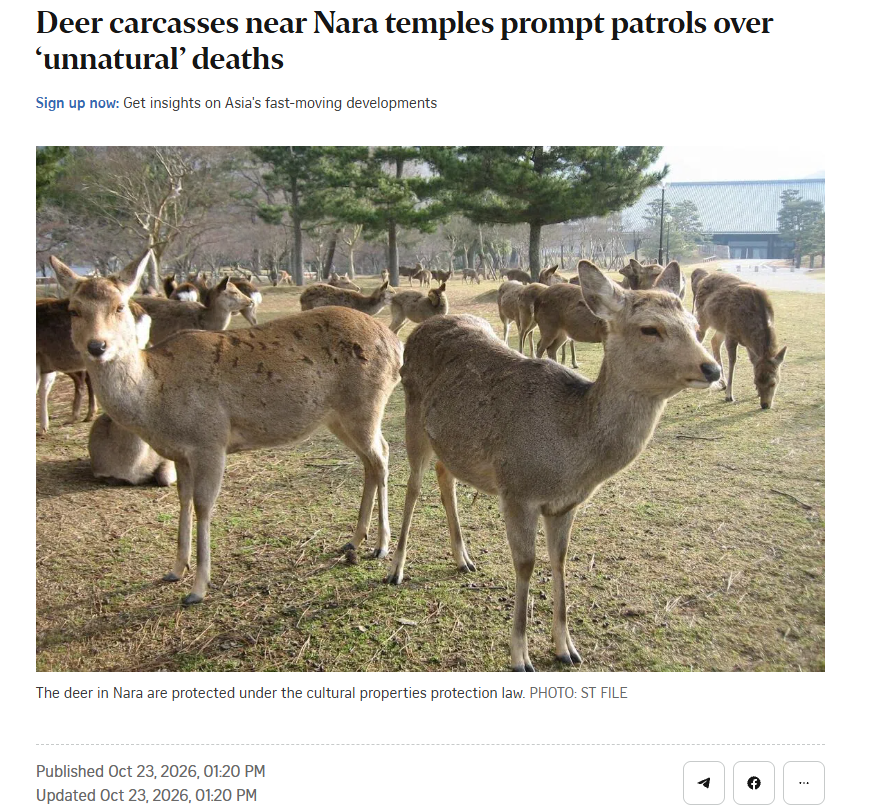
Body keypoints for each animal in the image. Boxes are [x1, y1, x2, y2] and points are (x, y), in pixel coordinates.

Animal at [50, 252, 403, 605]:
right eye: (73, 309)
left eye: (120, 306)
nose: (97, 346)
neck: (155, 400)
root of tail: (396, 344)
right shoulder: (179, 454)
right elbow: (183, 500)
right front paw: (175, 569)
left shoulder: (210, 441)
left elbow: (203, 505)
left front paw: (197, 588)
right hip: (338, 418)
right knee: (373, 459)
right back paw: (355, 539)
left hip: (365, 406)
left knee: (383, 456)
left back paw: (381, 546)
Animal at [386, 260, 719, 670]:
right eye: (650, 328)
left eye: (693, 322)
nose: (712, 368)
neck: (569, 459)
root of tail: (423, 328)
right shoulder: (516, 491)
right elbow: (526, 564)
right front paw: (520, 655)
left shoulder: (565, 505)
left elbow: (559, 560)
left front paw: (566, 647)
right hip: (412, 415)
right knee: (413, 485)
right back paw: (396, 568)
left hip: (449, 440)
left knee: (444, 477)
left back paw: (463, 558)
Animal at [693, 273, 786, 409]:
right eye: (756, 381)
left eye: (773, 383)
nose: (765, 405)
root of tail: (704, 279)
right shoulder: (731, 333)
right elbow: (733, 361)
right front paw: (729, 396)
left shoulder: (736, 336)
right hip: (702, 316)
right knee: (698, 338)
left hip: (721, 326)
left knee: (714, 341)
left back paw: (722, 382)